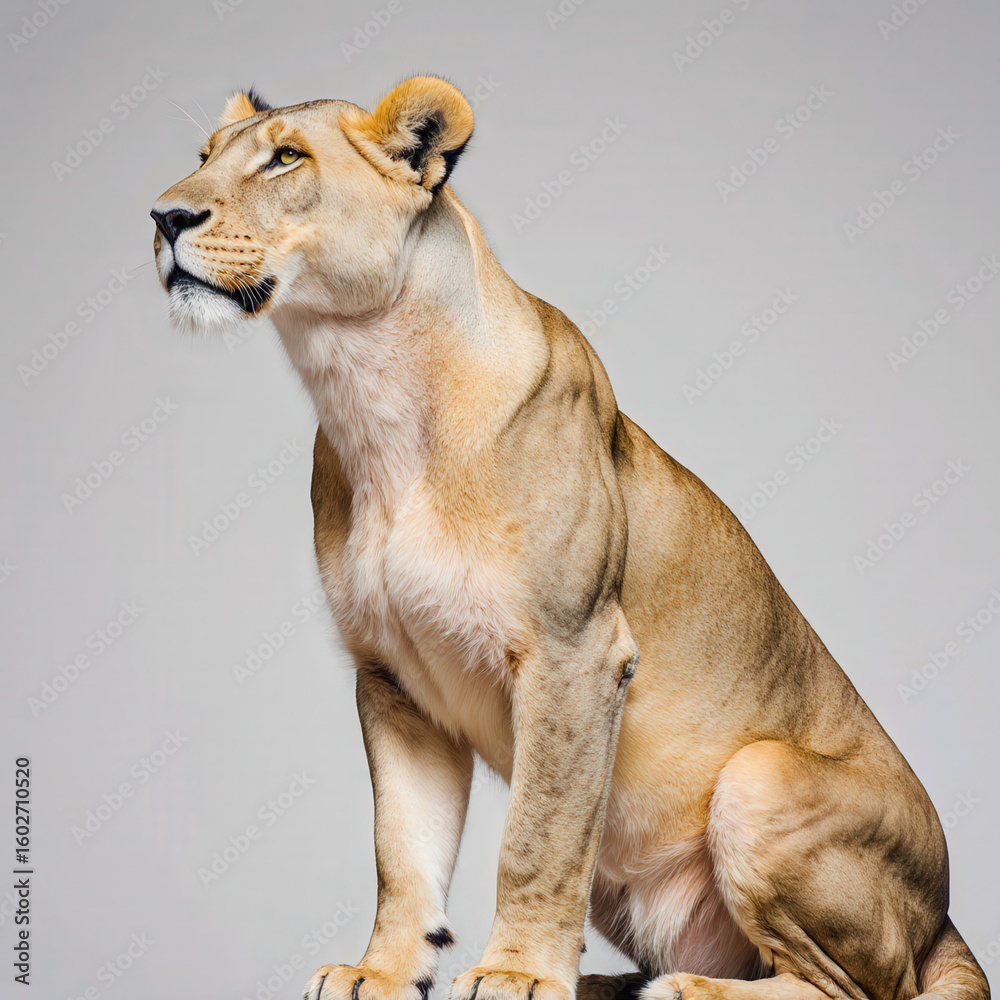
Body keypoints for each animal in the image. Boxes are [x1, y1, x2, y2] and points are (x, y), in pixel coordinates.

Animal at [151, 77, 989, 1000]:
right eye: (203, 158)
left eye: (286, 158)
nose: (163, 217)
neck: (365, 393)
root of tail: (946, 923)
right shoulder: (392, 680)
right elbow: (400, 849)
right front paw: (382, 971)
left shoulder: (574, 652)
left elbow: (539, 836)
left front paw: (514, 975)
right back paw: (607, 982)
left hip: (760, 778)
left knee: (867, 989)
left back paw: (681, 990)